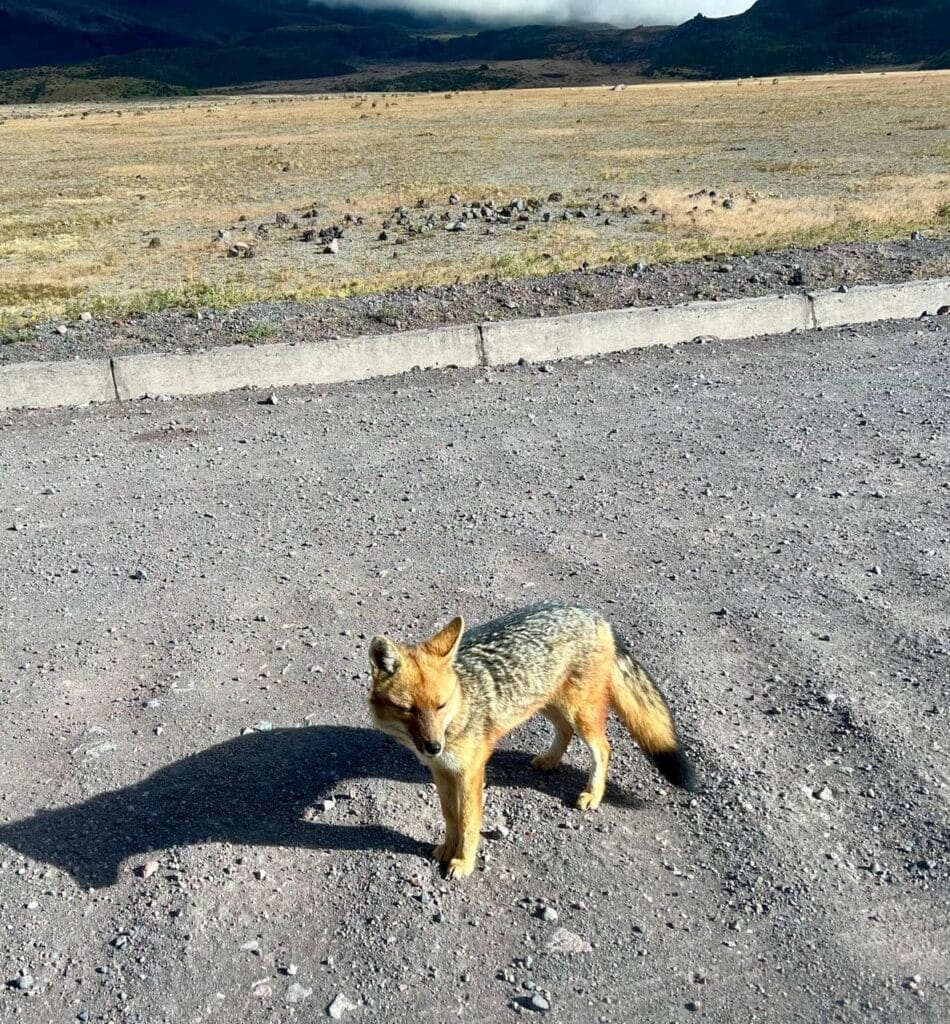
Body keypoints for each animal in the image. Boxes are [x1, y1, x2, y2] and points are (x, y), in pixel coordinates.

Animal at [368, 602, 697, 879]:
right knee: (564, 731)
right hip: (547, 702)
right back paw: (550, 760)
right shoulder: (442, 771)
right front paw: (448, 849)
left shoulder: (470, 772)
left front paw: (463, 861)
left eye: (441, 705)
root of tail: (593, 614)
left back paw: (593, 794)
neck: (462, 707)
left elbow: (469, 822)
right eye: (408, 709)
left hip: (579, 713)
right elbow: (450, 817)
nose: (434, 747)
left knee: (604, 748)